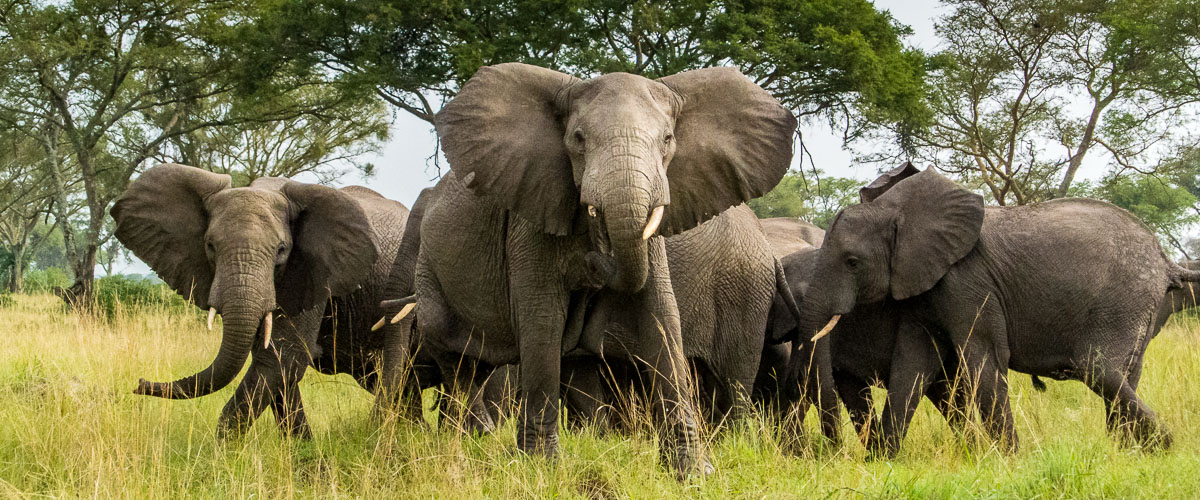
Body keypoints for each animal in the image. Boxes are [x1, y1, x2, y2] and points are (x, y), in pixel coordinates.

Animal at [112, 163, 413, 437]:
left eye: (281, 250)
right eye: (210, 246)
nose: (139, 383)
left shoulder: (313, 271)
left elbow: (281, 358)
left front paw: (225, 455)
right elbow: (276, 366)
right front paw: (303, 455)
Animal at [406, 62, 801, 476]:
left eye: (667, 139)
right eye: (578, 139)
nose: (594, 263)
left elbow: (661, 315)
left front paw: (693, 473)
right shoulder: (530, 218)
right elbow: (543, 319)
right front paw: (542, 468)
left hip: (744, 292)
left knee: (733, 377)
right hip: (429, 271)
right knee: (456, 356)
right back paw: (473, 439)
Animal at [787, 162, 1200, 457]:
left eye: (852, 262)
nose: (833, 452)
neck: (899, 210)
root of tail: (1165, 260)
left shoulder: (967, 280)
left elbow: (983, 357)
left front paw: (1010, 459)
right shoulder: (926, 286)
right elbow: (913, 364)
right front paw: (883, 460)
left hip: (1124, 299)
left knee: (1099, 369)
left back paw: (1163, 446)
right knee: (1123, 374)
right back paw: (1130, 451)